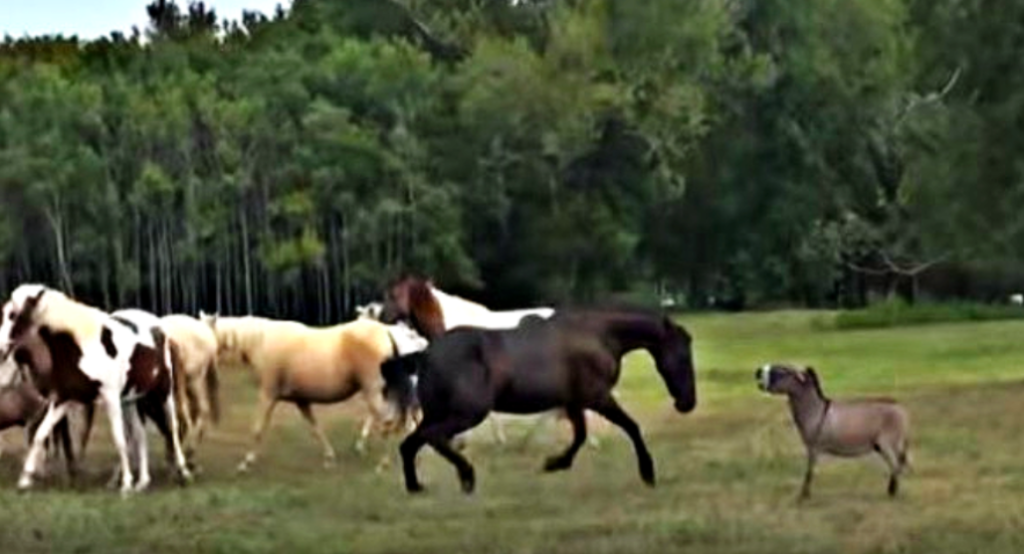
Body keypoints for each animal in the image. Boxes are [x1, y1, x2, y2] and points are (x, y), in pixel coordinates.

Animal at [0, 284, 192, 491]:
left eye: (13, 314)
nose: (1, 350)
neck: (80, 346)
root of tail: (159, 327)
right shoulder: (63, 399)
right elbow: (40, 434)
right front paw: (25, 480)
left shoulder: (110, 398)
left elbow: (119, 439)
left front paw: (126, 484)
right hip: (132, 399)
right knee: (140, 434)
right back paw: (142, 481)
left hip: (163, 391)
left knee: (172, 427)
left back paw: (183, 472)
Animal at [197, 313, 405, 469]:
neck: (261, 342)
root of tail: (385, 331)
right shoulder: (301, 400)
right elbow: (315, 427)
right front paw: (329, 457)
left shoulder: (267, 395)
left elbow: (258, 428)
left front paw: (246, 462)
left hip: (373, 390)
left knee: (386, 420)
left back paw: (382, 462)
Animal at [382, 307, 696, 491]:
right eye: (682, 357)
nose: (687, 403)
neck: (599, 336)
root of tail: (426, 354)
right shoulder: (597, 397)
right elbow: (631, 427)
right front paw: (648, 473)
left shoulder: (574, 401)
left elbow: (580, 435)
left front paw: (555, 463)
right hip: (467, 413)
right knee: (432, 438)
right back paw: (467, 476)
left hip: (438, 413)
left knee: (410, 444)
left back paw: (416, 487)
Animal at [753, 364, 913, 499]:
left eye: (780, 371)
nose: (757, 371)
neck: (815, 410)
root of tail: (900, 408)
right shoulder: (812, 448)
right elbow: (810, 471)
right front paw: (804, 495)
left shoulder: (813, 448)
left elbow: (809, 472)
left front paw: (804, 496)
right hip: (882, 445)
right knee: (897, 465)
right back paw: (892, 491)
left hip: (887, 443)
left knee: (896, 465)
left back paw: (892, 493)